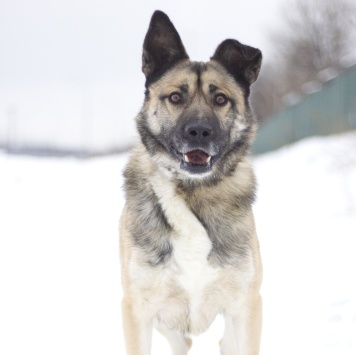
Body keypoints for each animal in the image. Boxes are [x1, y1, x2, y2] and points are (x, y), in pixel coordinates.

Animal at [121, 9, 262, 355]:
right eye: (175, 97)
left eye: (221, 99)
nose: (199, 132)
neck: (190, 191)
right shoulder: (138, 311)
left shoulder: (246, 307)